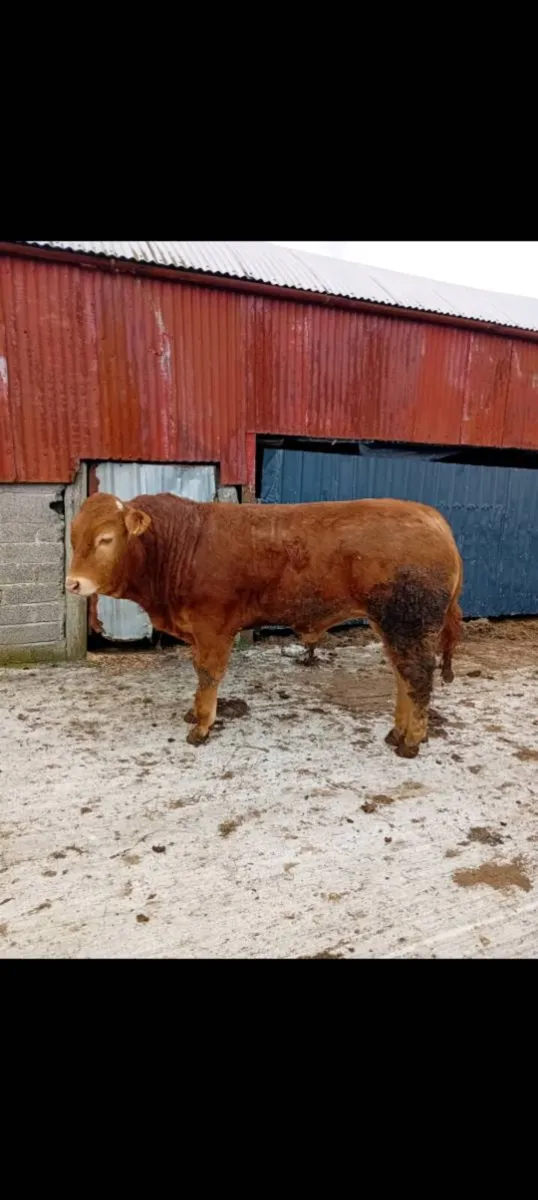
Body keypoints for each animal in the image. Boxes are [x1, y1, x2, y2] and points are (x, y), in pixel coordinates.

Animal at [66, 492, 463, 758]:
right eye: (74, 537)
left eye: (105, 539)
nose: (73, 583)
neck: (182, 546)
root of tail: (430, 516)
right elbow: (199, 673)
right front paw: (194, 713)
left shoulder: (213, 627)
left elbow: (208, 675)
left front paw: (202, 726)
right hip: (393, 625)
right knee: (403, 676)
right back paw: (398, 732)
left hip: (409, 622)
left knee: (418, 677)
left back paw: (411, 741)